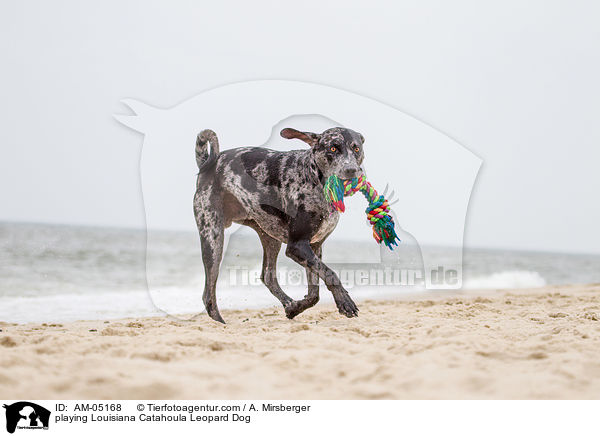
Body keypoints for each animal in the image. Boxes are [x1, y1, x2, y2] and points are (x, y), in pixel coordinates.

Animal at [195, 127, 366, 324]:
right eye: (333, 148)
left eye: (356, 148)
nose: (351, 170)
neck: (314, 179)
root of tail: (207, 163)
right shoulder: (297, 246)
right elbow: (330, 274)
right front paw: (345, 302)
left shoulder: (314, 247)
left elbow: (314, 293)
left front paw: (295, 308)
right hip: (213, 239)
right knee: (208, 294)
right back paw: (220, 322)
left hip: (269, 237)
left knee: (268, 276)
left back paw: (289, 303)